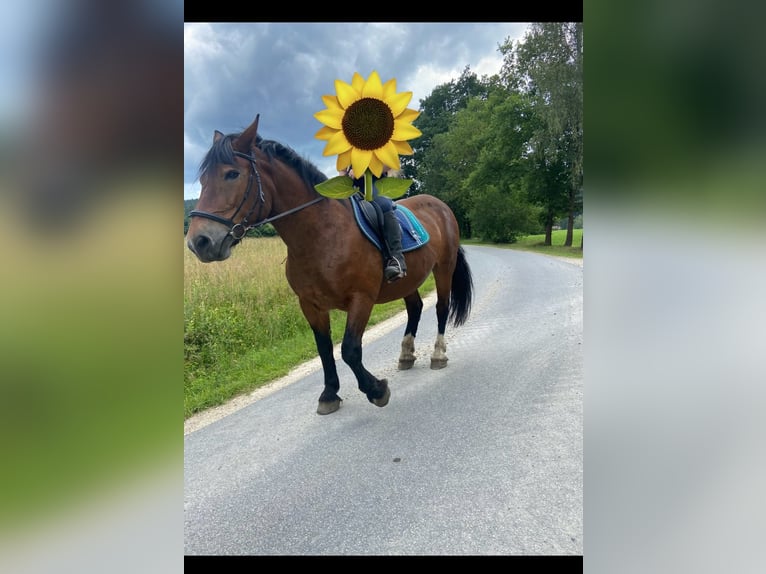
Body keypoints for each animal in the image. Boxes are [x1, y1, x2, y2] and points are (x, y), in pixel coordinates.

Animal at [186, 115, 474, 416]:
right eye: (203, 179)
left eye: (232, 174)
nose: (199, 242)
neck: (321, 236)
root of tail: (441, 205)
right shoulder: (310, 305)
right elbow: (324, 349)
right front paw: (329, 394)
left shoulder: (361, 298)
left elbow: (349, 349)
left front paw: (376, 390)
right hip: (409, 280)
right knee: (415, 308)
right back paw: (406, 354)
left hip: (444, 267)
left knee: (441, 308)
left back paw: (438, 354)